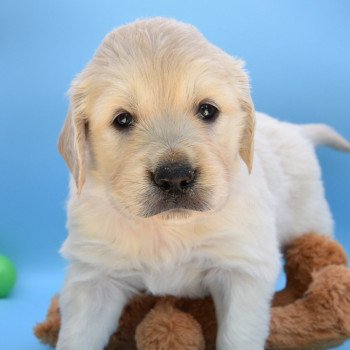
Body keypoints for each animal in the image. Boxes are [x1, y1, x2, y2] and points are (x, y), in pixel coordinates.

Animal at [55, 17, 350, 350]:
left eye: (207, 110)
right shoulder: (95, 276)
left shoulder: (242, 268)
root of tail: (297, 131)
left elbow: (238, 335)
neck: (168, 229)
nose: (174, 176)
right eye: (122, 119)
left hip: (312, 220)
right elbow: (77, 335)